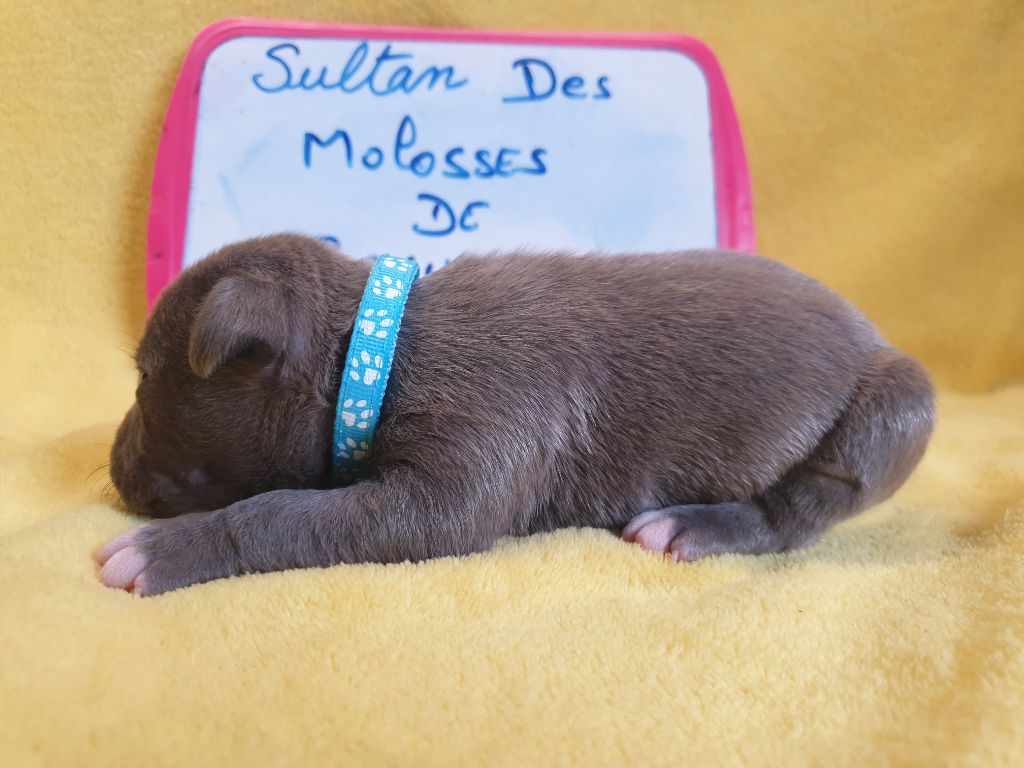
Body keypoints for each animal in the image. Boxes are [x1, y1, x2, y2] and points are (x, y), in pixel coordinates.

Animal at [98, 234, 935, 596]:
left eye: (142, 380)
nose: (106, 464)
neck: (380, 347)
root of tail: (874, 335)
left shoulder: (472, 448)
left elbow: (283, 513)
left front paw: (164, 550)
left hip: (893, 407)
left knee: (802, 508)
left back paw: (695, 525)